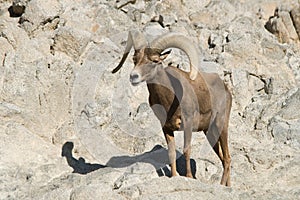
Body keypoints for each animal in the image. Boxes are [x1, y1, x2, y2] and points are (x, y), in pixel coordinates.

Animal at [112, 30, 232, 186]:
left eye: (155, 60)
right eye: (135, 59)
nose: (134, 76)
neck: (168, 100)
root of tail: (226, 89)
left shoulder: (187, 124)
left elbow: (186, 150)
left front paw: (189, 177)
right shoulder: (166, 128)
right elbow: (172, 153)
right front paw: (174, 176)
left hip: (220, 126)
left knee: (227, 158)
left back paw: (221, 185)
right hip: (209, 133)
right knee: (224, 159)